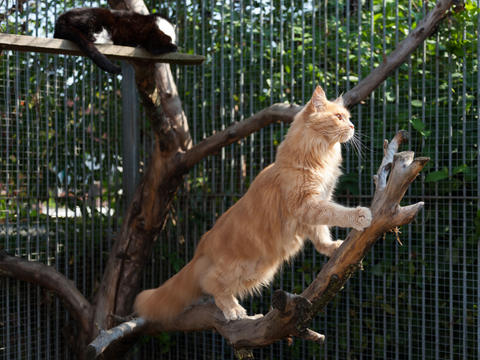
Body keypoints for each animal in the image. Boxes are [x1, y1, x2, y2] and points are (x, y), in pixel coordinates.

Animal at [133, 86, 374, 322]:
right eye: (338, 117)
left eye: (348, 118)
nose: (353, 126)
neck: (316, 156)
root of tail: (200, 249)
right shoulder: (306, 204)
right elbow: (336, 213)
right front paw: (360, 216)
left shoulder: (312, 209)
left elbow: (321, 235)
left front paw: (332, 247)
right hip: (238, 268)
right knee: (210, 283)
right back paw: (232, 309)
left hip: (259, 270)